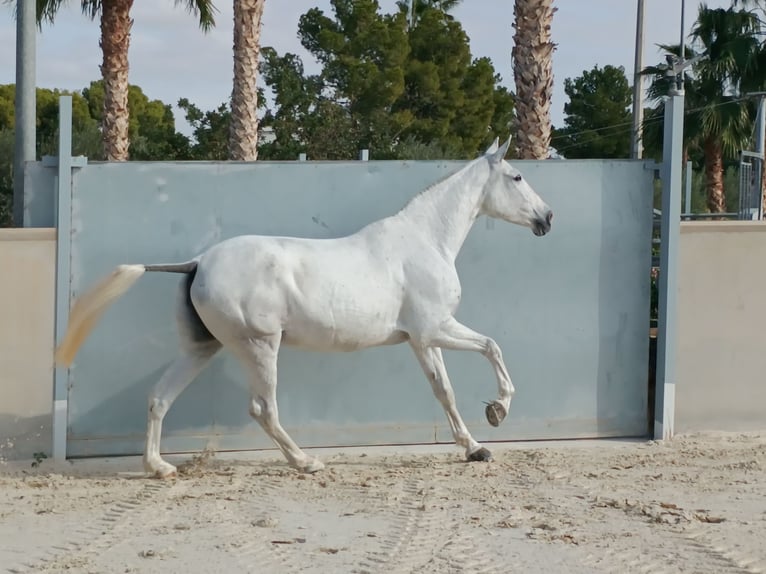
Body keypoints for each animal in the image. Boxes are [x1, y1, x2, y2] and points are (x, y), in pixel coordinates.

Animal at [57, 137, 556, 480]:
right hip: (260, 346)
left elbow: (444, 391)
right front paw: (497, 411)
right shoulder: (436, 328)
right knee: (263, 409)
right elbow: (491, 346)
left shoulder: (420, 339)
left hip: (202, 348)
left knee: (160, 398)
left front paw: (475, 448)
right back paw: (305, 462)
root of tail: (198, 262)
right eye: (517, 177)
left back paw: (159, 467)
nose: (547, 218)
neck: (424, 241)